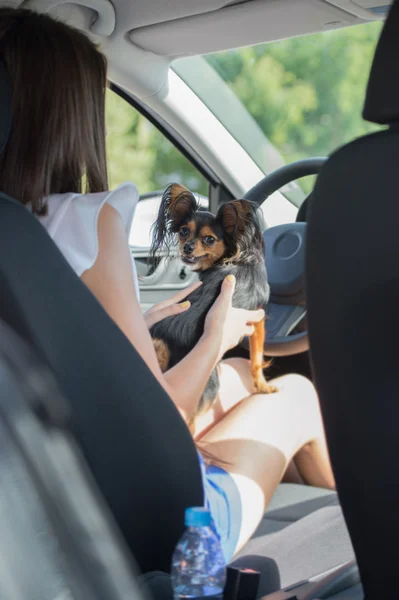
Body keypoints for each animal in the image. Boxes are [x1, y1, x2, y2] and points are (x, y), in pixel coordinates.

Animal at [148, 183, 276, 426]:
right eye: (183, 231)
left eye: (209, 239)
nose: (187, 247)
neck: (238, 260)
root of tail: (163, 340)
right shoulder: (258, 319)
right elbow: (257, 358)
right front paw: (264, 387)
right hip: (209, 385)